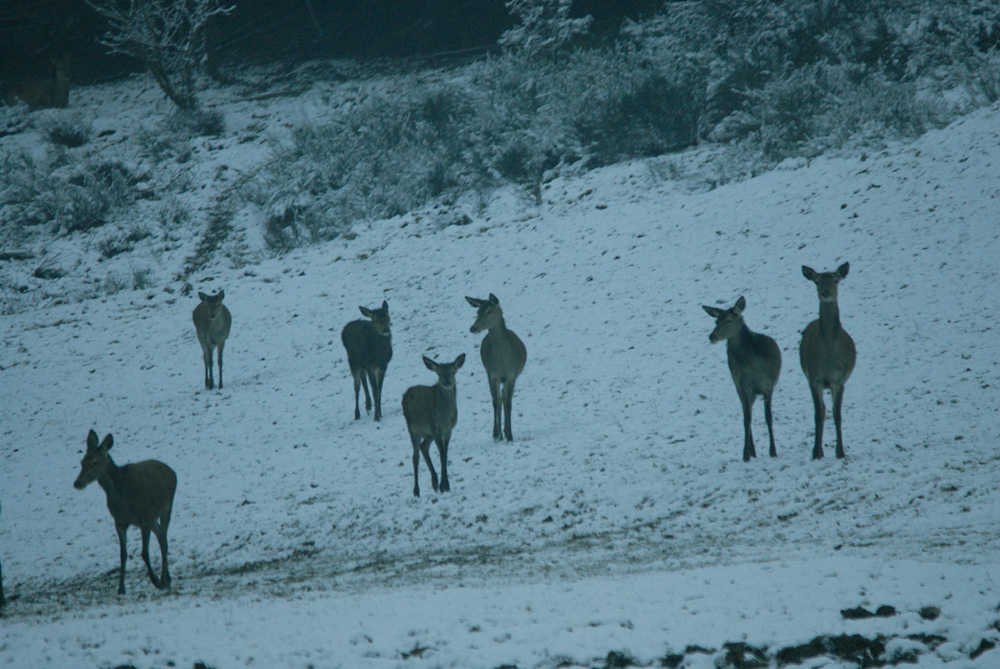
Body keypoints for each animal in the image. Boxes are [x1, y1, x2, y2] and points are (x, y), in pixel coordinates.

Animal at [74, 430, 178, 592]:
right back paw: (167, 578)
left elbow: (144, 552)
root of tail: (172, 472)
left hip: (166, 508)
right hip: (154, 517)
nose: (77, 483)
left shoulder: (144, 517)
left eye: (95, 462)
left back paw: (163, 580)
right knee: (161, 535)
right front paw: (121, 588)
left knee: (163, 539)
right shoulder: (119, 522)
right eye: (82, 462)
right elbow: (123, 554)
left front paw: (154, 580)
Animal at [404, 354, 466, 496]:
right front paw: (445, 485)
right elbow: (442, 454)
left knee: (423, 447)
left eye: (453, 371)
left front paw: (444, 485)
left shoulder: (448, 431)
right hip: (413, 429)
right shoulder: (436, 429)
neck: (445, 418)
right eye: (439, 373)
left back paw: (434, 482)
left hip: (428, 433)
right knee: (415, 457)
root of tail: (406, 392)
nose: (447, 382)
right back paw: (416, 490)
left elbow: (445, 453)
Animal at [464, 294, 528, 440]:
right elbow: (495, 402)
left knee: (503, 397)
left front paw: (509, 434)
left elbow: (508, 404)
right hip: (489, 374)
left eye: (489, 311)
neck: (503, 362)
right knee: (499, 399)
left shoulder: (511, 376)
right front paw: (496, 433)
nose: (473, 328)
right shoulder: (493, 375)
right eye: (477, 312)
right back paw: (500, 432)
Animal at [704, 294, 780, 462]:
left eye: (728, 320)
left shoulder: (768, 386)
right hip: (739, 387)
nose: (712, 336)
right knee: (747, 413)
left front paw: (773, 451)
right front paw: (745, 454)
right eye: (716, 321)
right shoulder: (744, 386)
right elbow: (747, 419)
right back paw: (752, 451)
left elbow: (768, 417)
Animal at [800, 260, 856, 460]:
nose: (826, 293)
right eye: (817, 282)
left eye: (835, 280)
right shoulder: (815, 379)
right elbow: (818, 414)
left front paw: (841, 452)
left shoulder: (838, 381)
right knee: (822, 410)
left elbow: (837, 414)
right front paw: (816, 452)